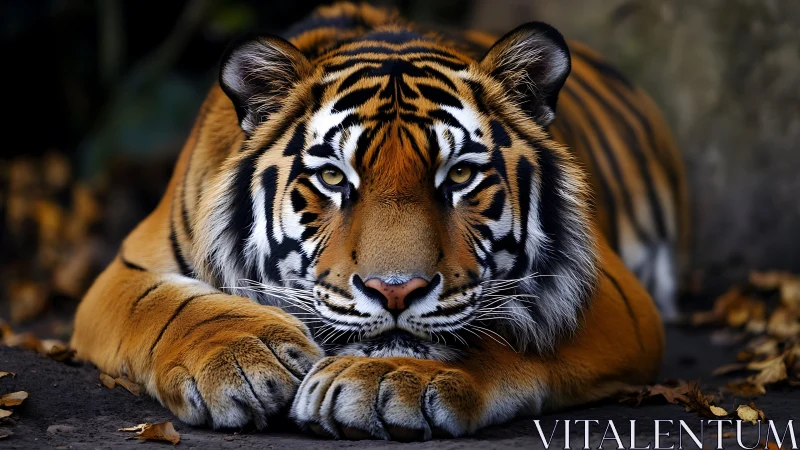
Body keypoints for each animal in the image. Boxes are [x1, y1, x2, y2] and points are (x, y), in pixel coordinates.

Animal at [71, 2, 687, 440]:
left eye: (460, 175)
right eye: (333, 177)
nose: (396, 291)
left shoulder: (609, 293)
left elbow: (504, 331)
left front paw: (386, 377)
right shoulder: (125, 266)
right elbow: (162, 306)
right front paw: (244, 358)